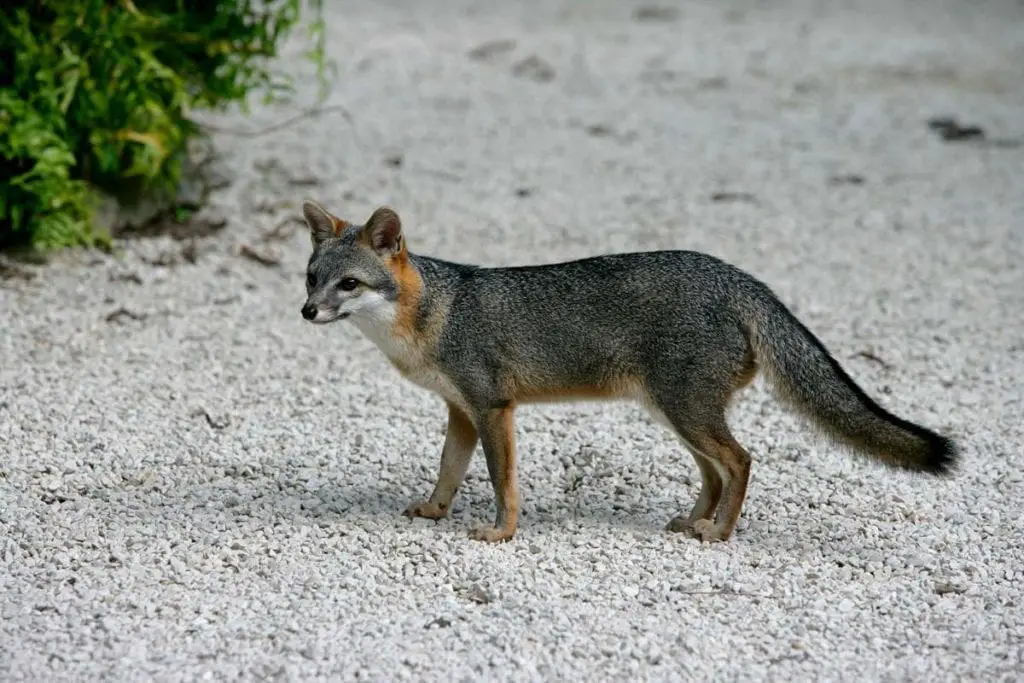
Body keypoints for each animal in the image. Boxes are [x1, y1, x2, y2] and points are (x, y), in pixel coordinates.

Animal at [299, 198, 954, 544]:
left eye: (348, 284)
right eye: (311, 278)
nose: (307, 311)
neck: (434, 312)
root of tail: (739, 277)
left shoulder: (492, 408)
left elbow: (501, 481)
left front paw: (501, 533)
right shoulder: (461, 411)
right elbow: (448, 472)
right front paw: (436, 511)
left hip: (687, 412)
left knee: (741, 461)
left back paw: (718, 532)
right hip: (676, 414)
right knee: (715, 471)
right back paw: (695, 519)